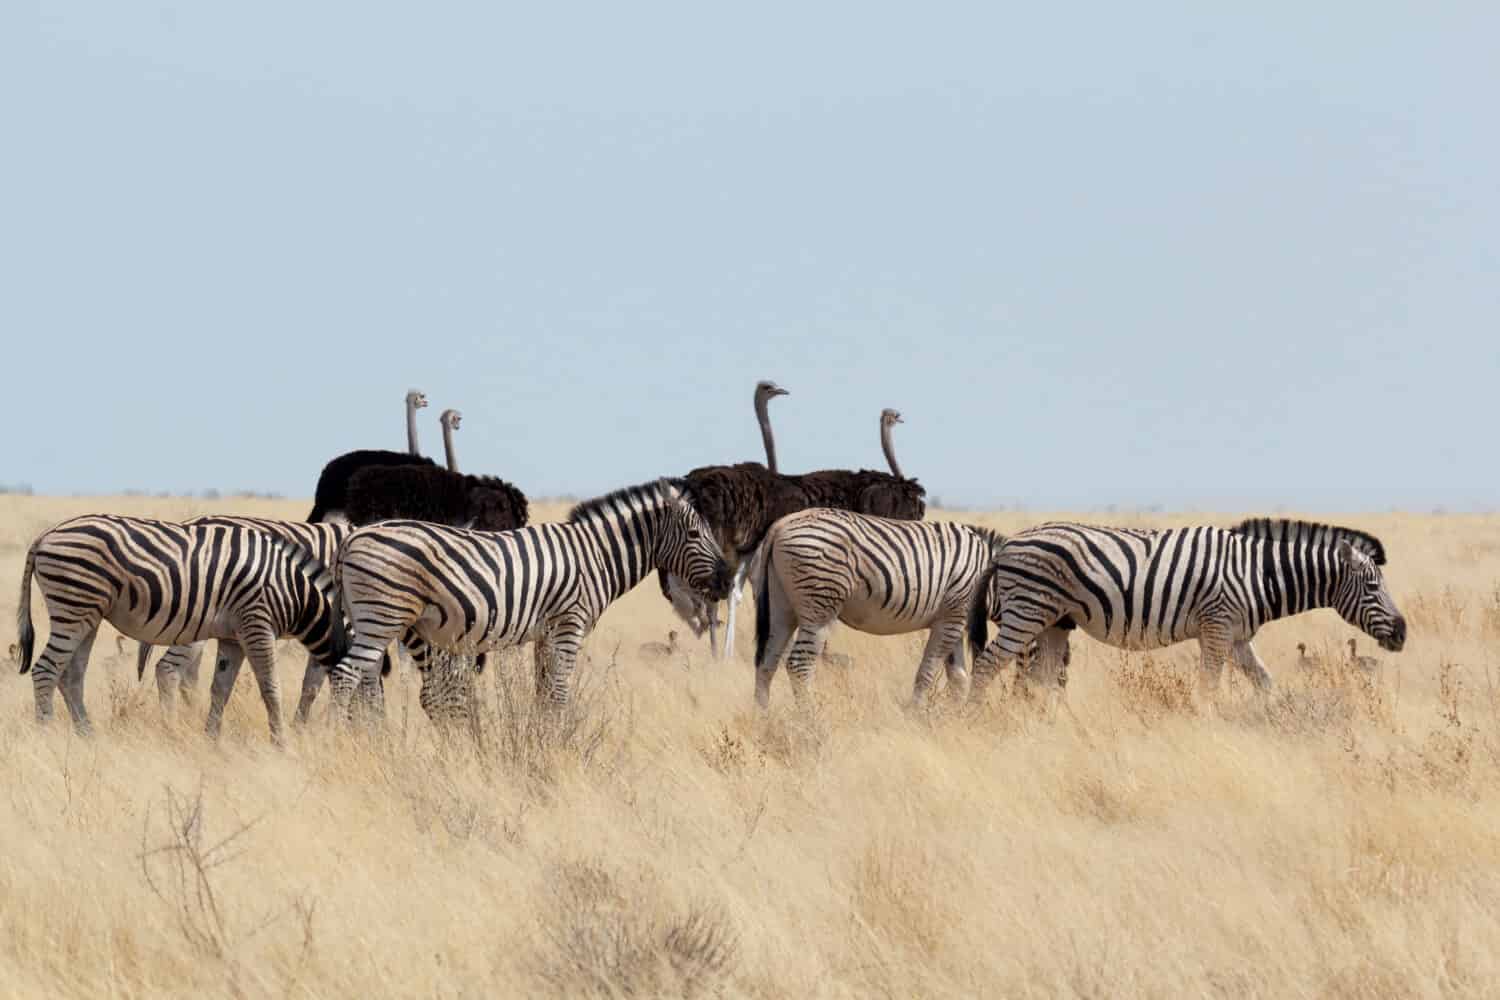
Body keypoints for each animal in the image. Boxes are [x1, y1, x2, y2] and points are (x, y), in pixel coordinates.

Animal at [136, 515, 387, 728]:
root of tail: (188, 522)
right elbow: (350, 679)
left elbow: (314, 683)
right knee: (171, 670)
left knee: (189, 676)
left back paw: (192, 716)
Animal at [325, 479, 735, 716]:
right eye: (696, 534)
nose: (728, 579)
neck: (594, 555)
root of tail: (352, 536)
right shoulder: (570, 624)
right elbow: (559, 693)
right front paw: (557, 744)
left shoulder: (546, 633)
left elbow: (544, 691)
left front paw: (542, 737)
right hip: (381, 617)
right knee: (345, 676)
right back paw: (337, 740)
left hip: (376, 620)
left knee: (365, 683)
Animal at [750, 509, 1008, 710]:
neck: (987, 578)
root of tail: (782, 524)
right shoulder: (952, 617)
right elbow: (927, 673)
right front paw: (916, 717)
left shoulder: (953, 620)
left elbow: (958, 678)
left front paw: (952, 720)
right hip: (819, 605)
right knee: (798, 665)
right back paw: (812, 723)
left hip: (781, 607)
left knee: (766, 663)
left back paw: (765, 719)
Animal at [960, 515, 1404, 704]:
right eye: (1373, 586)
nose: (1402, 634)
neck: (1257, 574)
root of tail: (1006, 546)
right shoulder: (1218, 626)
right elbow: (1208, 686)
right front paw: (1207, 726)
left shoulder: (1237, 635)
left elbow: (1264, 682)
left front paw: (1268, 719)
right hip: (1027, 612)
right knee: (986, 665)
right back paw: (976, 722)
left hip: (1054, 622)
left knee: (1041, 680)